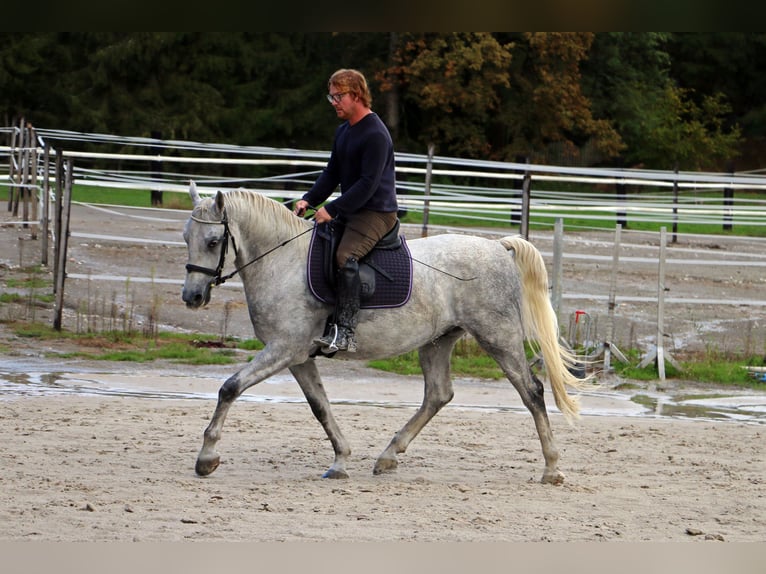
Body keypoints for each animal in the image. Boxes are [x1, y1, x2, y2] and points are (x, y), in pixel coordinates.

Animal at [183, 184, 592, 486]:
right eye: (187, 237)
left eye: (213, 242)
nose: (192, 297)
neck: (283, 262)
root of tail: (496, 246)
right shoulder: (297, 356)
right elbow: (320, 406)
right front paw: (341, 461)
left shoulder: (283, 348)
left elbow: (230, 388)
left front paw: (207, 458)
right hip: (437, 341)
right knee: (438, 395)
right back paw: (388, 456)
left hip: (498, 337)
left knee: (532, 392)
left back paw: (552, 469)